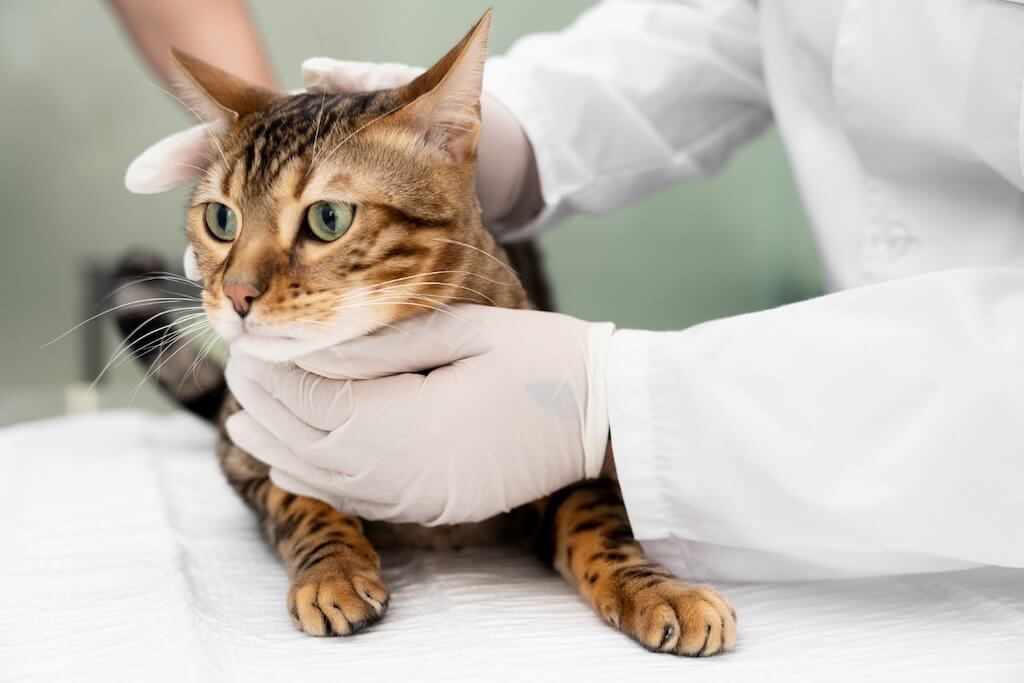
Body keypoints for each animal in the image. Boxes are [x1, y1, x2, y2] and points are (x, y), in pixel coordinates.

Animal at [114, 7, 737, 655]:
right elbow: (301, 497)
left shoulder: (571, 450)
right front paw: (334, 570)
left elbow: (598, 517)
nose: (236, 292)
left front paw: (659, 589)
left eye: (328, 218)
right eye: (221, 219)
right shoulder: (247, 445)